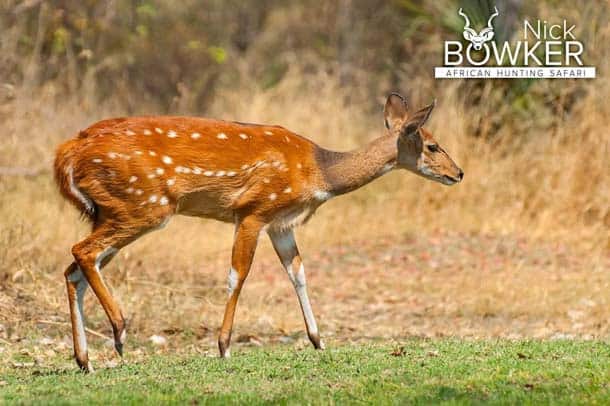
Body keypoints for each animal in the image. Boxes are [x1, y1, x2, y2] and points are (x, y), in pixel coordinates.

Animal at [53, 92, 460, 372]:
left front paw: (318, 341)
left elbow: (298, 273)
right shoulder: (253, 211)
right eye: (432, 145)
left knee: (75, 268)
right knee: (83, 252)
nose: (458, 173)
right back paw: (120, 332)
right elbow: (238, 274)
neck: (319, 173)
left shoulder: (281, 223)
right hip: (143, 205)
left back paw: (85, 359)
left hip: (109, 210)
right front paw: (223, 346)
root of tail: (67, 153)